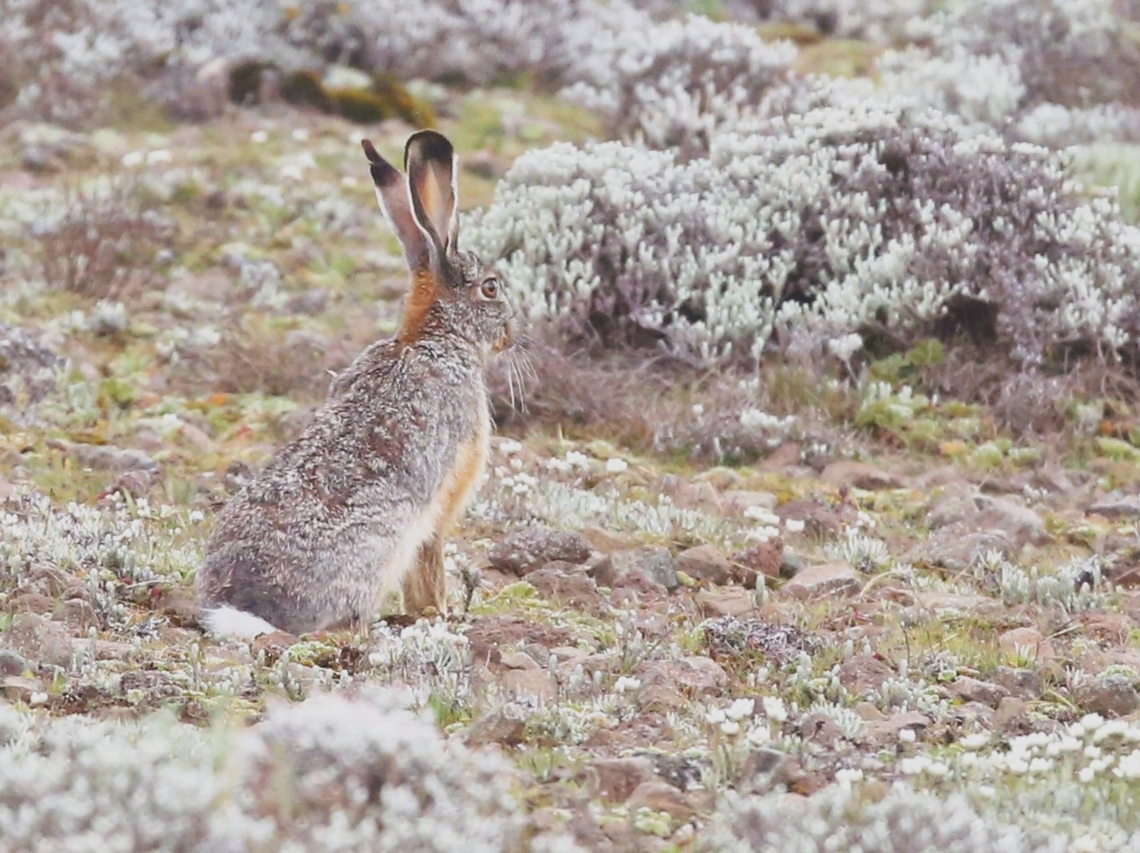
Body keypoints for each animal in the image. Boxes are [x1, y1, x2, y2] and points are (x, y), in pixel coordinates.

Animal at [197, 130, 514, 638]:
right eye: (490, 287)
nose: (511, 334)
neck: (432, 336)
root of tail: (250, 608)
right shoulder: (441, 504)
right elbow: (430, 562)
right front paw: (438, 614)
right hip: (382, 550)